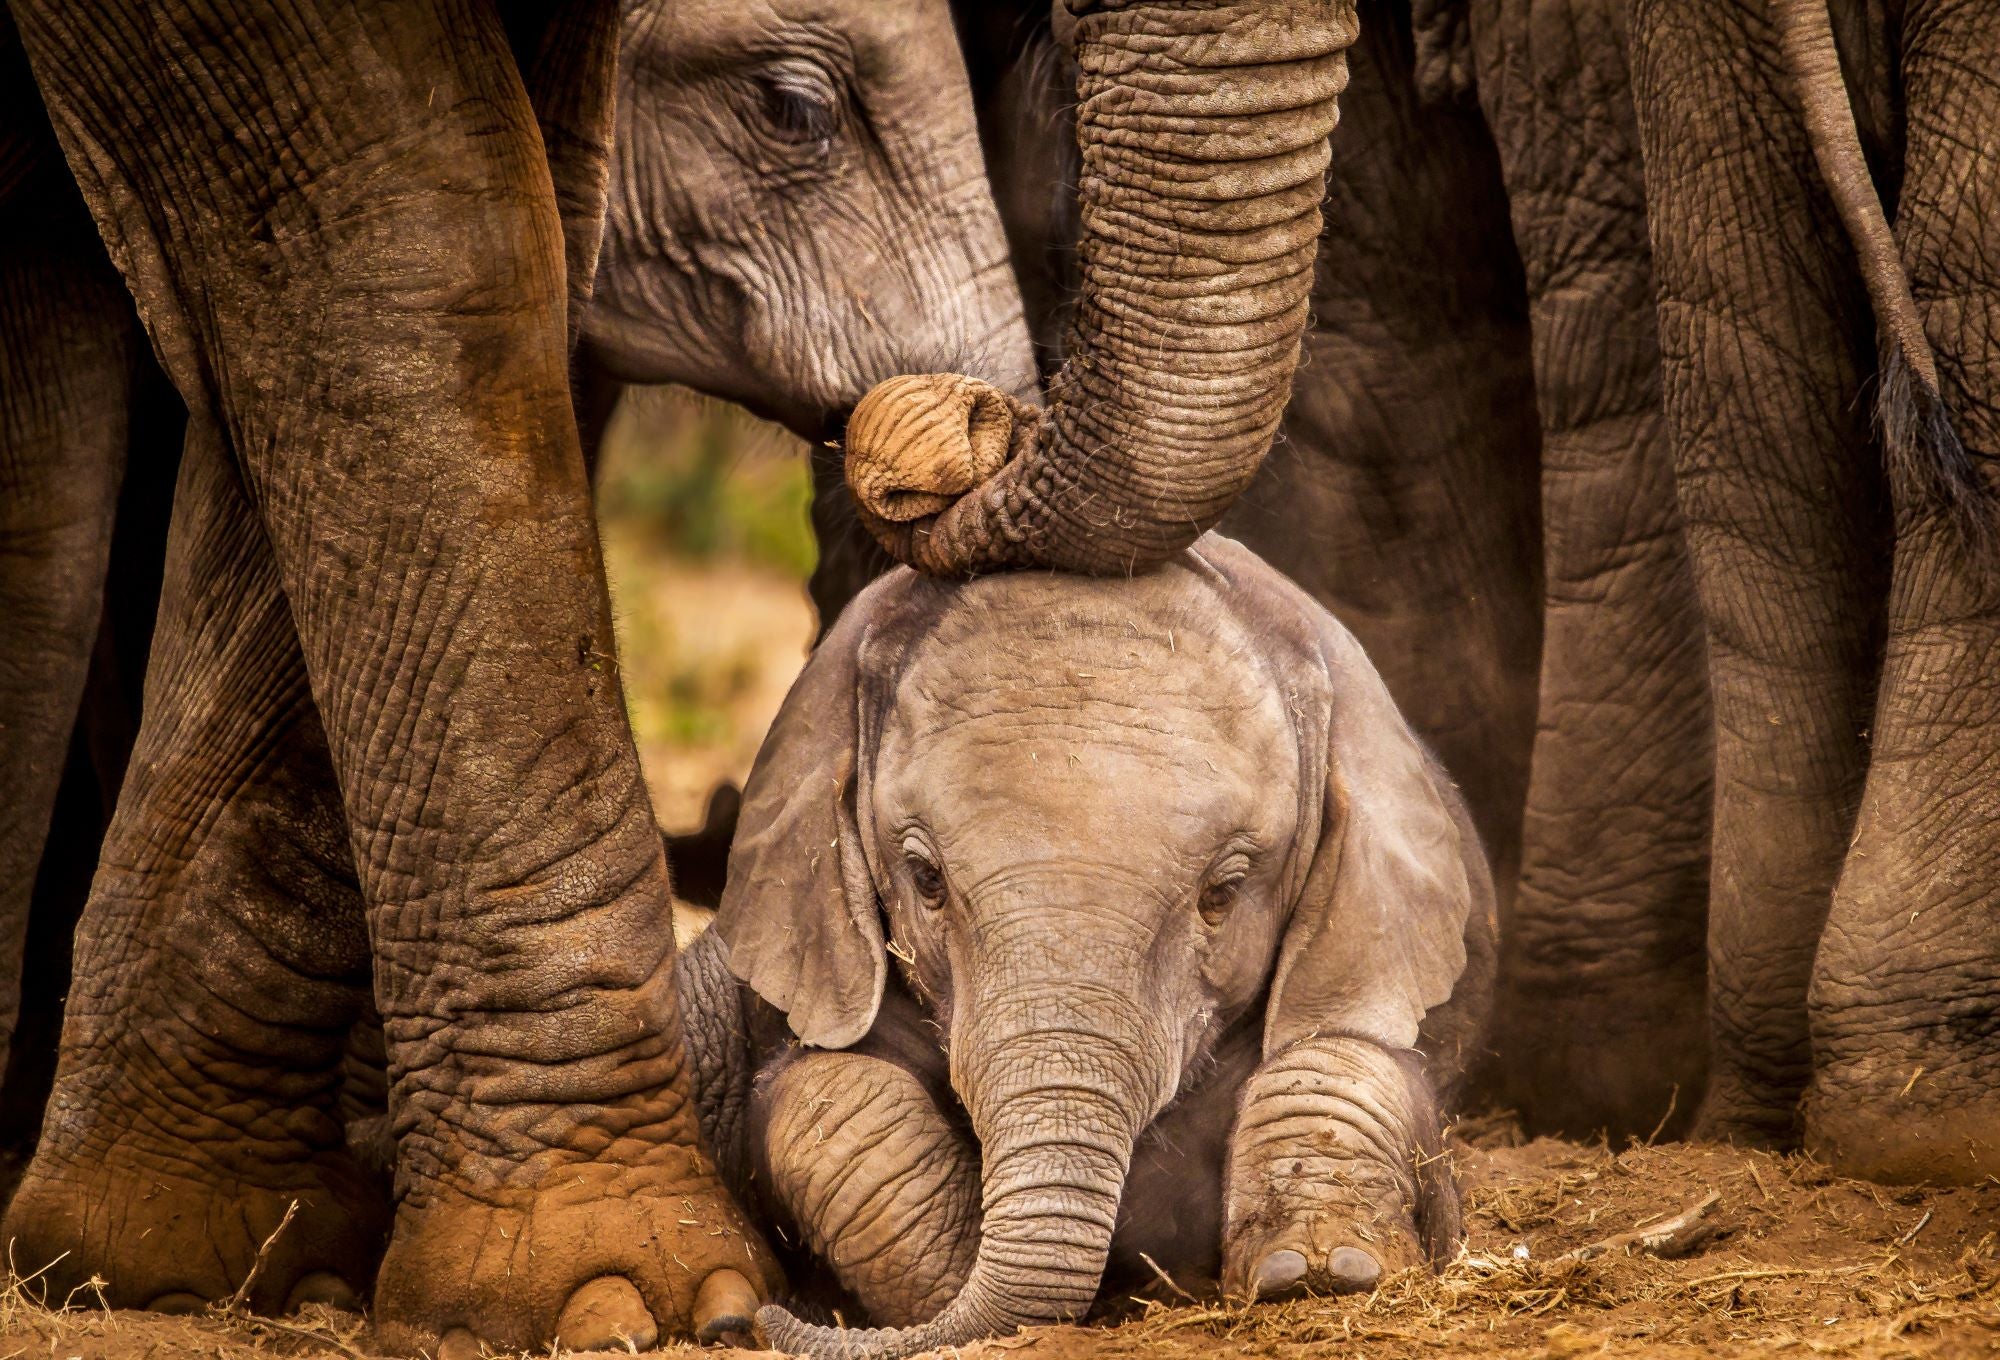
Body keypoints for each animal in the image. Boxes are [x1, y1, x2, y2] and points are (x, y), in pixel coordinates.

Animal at [680, 532, 1496, 1360]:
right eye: (925, 878)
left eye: (1224, 892)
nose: (755, 1324)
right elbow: (834, 1092)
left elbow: (1342, 1055)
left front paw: (1316, 1272)